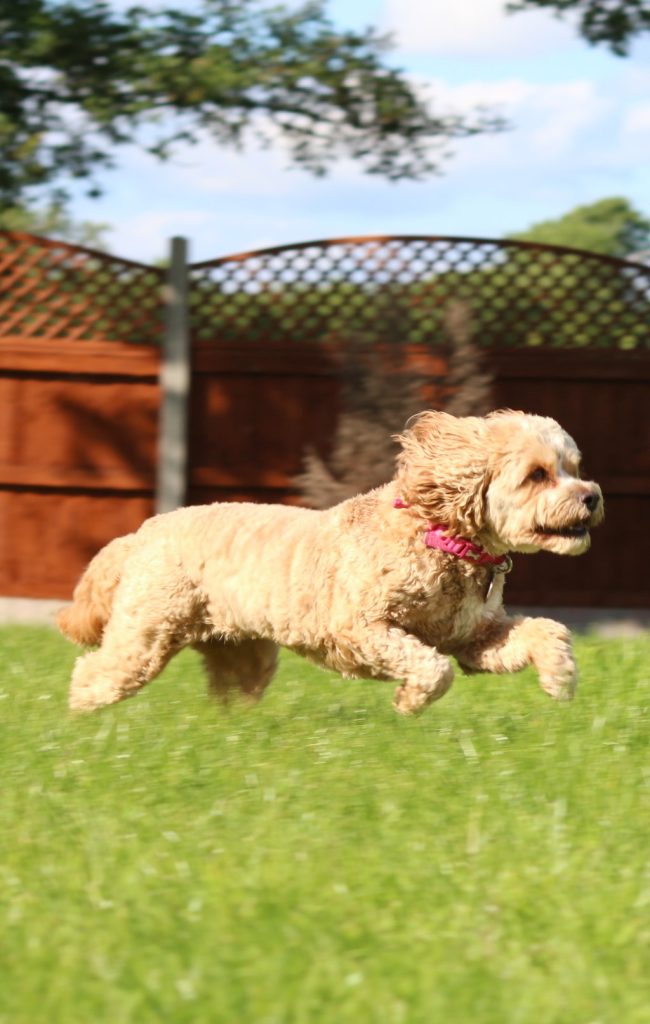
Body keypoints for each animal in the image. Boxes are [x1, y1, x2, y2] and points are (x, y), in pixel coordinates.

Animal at [59, 407, 605, 712]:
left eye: (575, 467)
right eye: (537, 475)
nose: (592, 496)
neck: (436, 537)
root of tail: (142, 533)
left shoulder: (472, 637)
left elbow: (546, 632)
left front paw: (560, 680)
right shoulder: (362, 628)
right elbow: (432, 668)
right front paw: (410, 702)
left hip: (241, 651)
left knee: (231, 692)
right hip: (146, 635)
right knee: (92, 677)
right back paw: (83, 730)